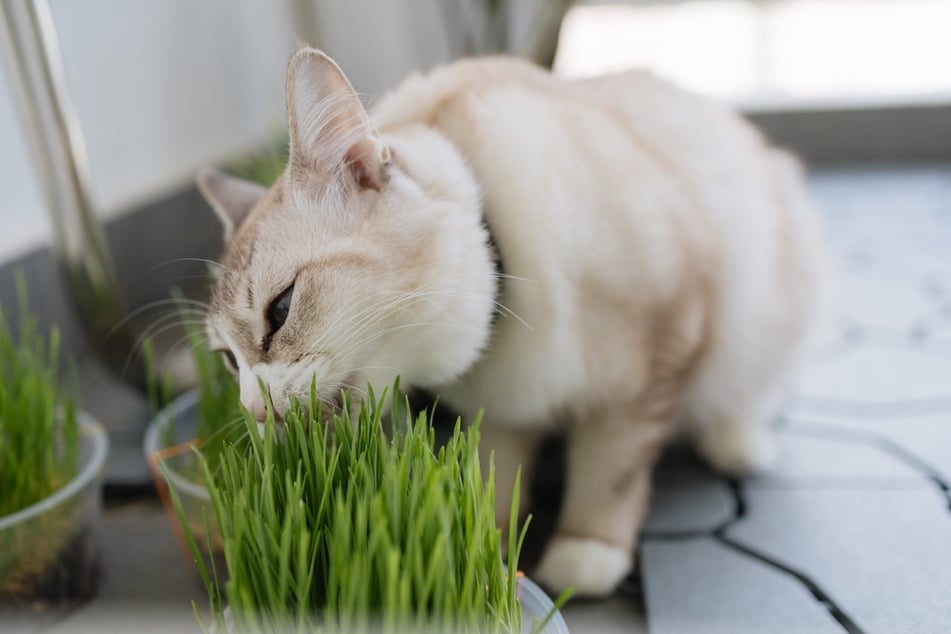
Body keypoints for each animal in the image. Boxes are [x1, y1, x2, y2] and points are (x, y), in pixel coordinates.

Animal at [199, 47, 824, 596]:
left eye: (280, 310)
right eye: (229, 362)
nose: (253, 408)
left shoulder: (656, 350)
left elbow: (610, 468)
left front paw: (585, 553)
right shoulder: (504, 411)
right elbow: (489, 491)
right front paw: (486, 558)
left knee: (747, 392)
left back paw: (737, 442)